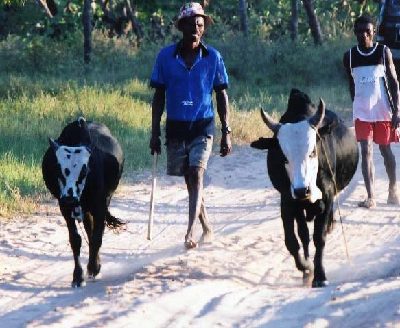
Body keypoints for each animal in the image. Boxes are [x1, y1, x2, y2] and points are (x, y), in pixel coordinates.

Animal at [41, 118, 124, 288]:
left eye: (84, 170)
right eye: (58, 168)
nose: (69, 198)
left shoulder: (100, 207)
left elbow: (97, 237)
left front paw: (93, 268)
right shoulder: (65, 209)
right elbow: (76, 240)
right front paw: (78, 276)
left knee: (94, 234)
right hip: (83, 210)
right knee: (88, 229)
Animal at [250, 89, 360, 288]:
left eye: (313, 152)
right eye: (283, 156)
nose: (302, 191)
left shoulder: (327, 196)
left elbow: (319, 238)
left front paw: (320, 276)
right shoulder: (287, 201)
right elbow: (292, 241)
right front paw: (306, 268)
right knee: (303, 234)